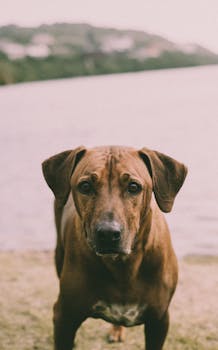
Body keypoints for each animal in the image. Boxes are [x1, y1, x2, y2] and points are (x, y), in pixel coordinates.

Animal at [42, 146, 187, 350]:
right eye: (85, 186)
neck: (123, 265)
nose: (108, 233)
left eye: (133, 187)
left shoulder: (159, 320)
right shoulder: (64, 317)